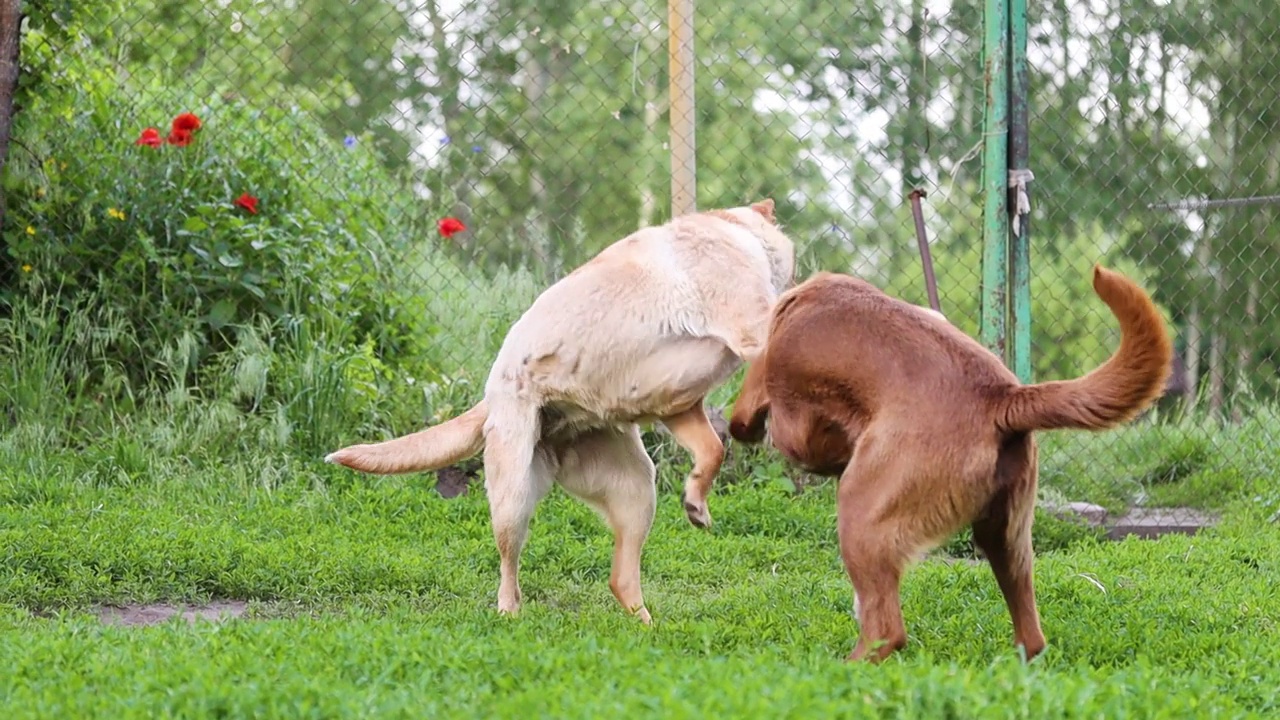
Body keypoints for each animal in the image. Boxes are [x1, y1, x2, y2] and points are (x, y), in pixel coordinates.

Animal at [732, 265, 1172, 661]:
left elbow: (757, 409)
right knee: (1030, 633)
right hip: (1007, 538)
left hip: (862, 518)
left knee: (886, 629)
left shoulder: (786, 411)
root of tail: (1002, 398)